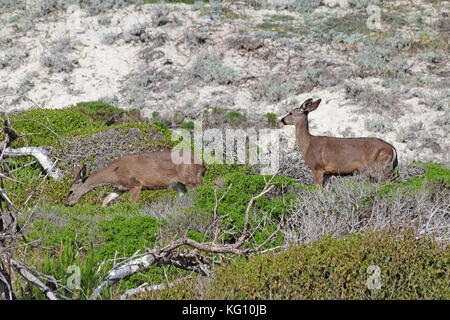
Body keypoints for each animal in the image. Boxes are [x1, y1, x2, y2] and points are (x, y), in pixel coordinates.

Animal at [65, 149, 206, 206]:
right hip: (178, 183)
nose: (67, 203)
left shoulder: (135, 184)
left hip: (191, 177)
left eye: (71, 191)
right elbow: (106, 199)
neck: (114, 173)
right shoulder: (120, 188)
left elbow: (132, 204)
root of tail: (201, 162)